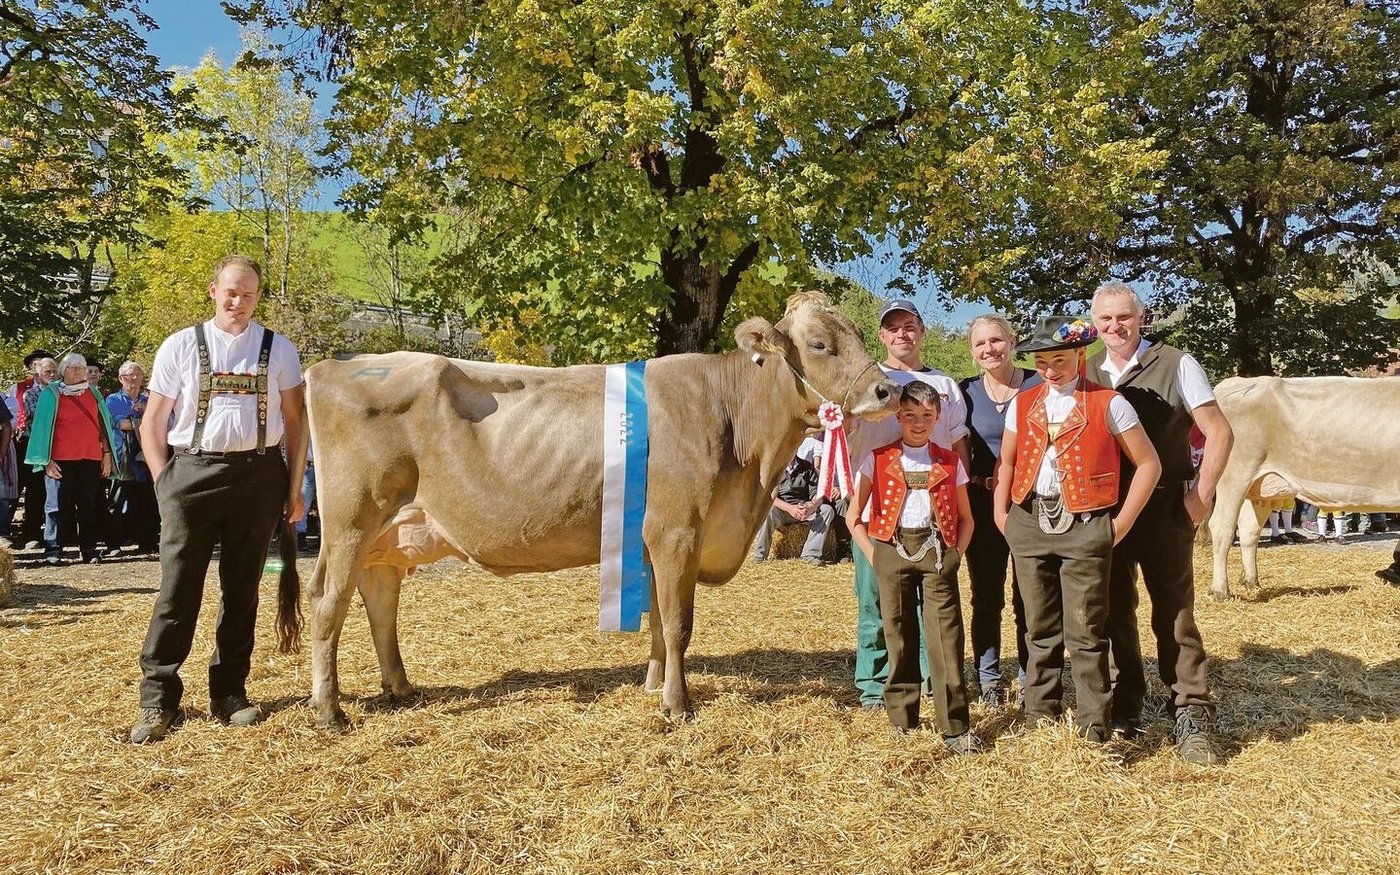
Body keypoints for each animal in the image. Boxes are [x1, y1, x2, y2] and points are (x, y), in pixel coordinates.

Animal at [278, 293, 898, 727]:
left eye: (859, 333)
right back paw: (329, 710)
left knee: (379, 599)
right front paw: (678, 704)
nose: (886, 392)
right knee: (328, 604)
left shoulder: (655, 538)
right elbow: (678, 622)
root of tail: (330, 366)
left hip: (389, 530)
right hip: (349, 522)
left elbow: (657, 617)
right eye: (819, 344)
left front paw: (652, 685)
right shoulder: (677, 531)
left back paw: (400, 688)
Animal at [1206, 376, 1400, 599]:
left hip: (1261, 487)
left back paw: (1252, 583)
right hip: (1235, 475)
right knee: (1222, 527)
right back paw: (1220, 591)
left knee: (1249, 529)